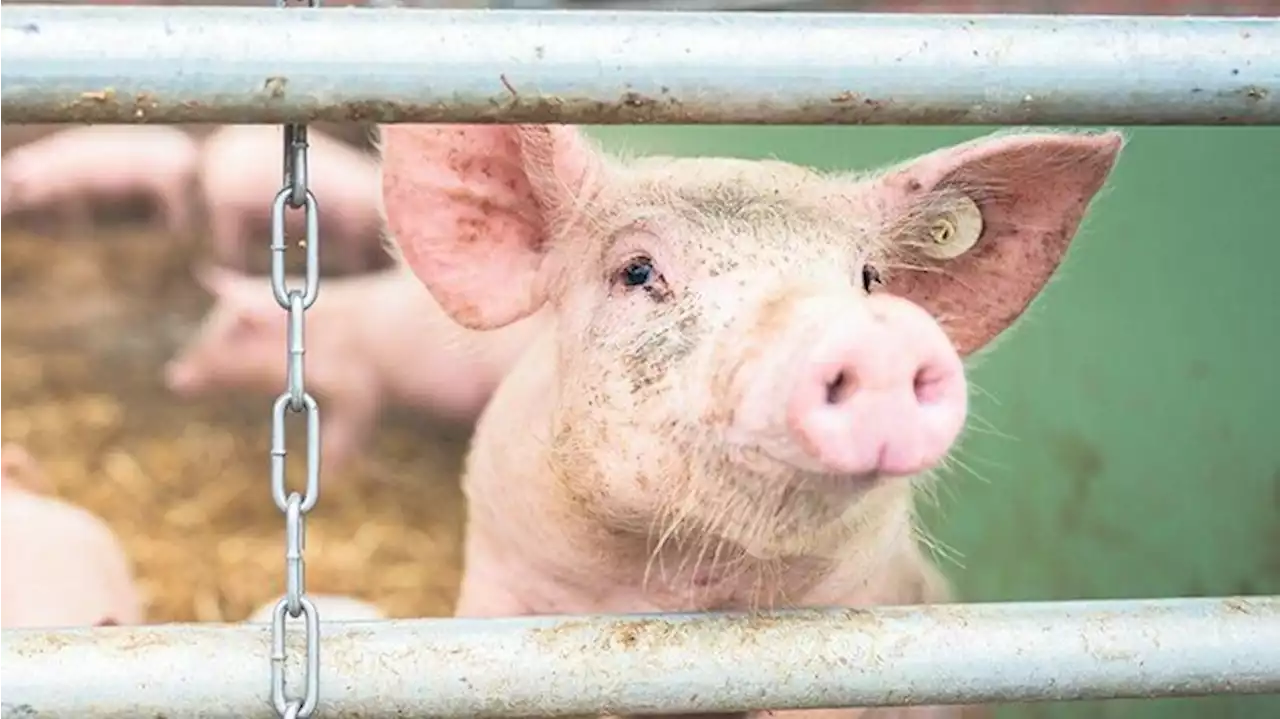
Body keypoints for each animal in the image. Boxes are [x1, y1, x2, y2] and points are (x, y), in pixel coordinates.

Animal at [0, 124, 198, 234]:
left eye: (8, 187)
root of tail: (191, 148)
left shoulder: (73, 192)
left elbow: (75, 215)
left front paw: (77, 231)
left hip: (171, 185)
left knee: (180, 211)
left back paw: (173, 233)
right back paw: (154, 226)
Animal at [162, 263, 542, 475]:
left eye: (232, 333)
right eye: (208, 322)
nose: (173, 375)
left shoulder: (358, 384)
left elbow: (345, 430)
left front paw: (333, 474)